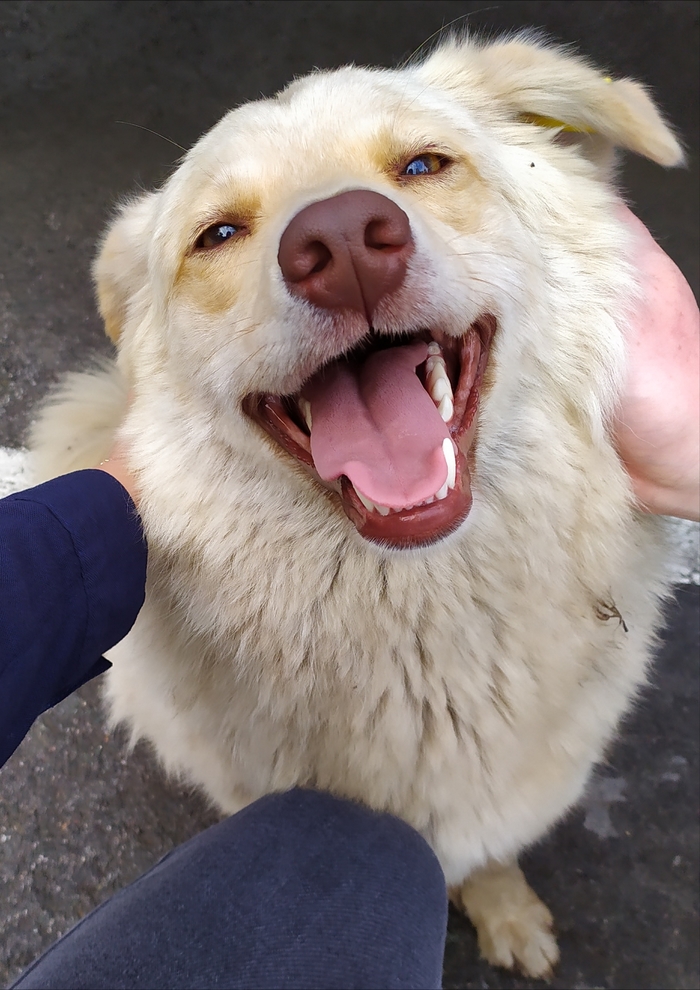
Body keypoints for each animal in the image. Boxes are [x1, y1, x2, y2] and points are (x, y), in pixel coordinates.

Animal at [30, 34, 683, 977]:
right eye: (218, 234)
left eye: (422, 165)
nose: (340, 242)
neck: (422, 617)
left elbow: (489, 853)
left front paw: (505, 907)